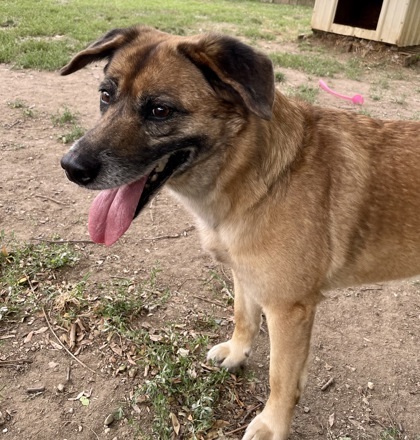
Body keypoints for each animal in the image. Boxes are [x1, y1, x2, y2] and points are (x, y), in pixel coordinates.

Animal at [59, 25, 420, 438]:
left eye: (160, 111)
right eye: (106, 95)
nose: (71, 167)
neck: (256, 175)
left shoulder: (289, 310)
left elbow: (282, 378)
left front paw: (272, 425)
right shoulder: (245, 275)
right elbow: (243, 317)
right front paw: (237, 353)